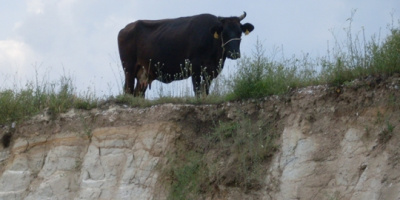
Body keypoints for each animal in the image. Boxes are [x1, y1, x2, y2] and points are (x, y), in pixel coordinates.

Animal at [117, 11, 253, 97]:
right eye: (224, 33)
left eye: (239, 32)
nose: (234, 54)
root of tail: (125, 28)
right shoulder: (195, 67)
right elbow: (197, 90)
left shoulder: (210, 71)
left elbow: (205, 90)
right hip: (129, 68)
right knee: (128, 89)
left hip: (144, 73)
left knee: (138, 93)